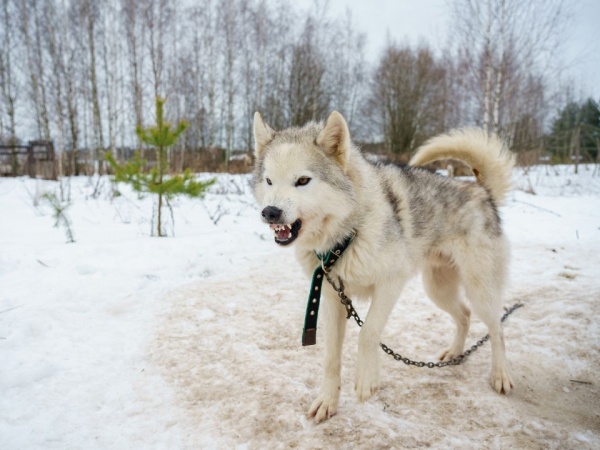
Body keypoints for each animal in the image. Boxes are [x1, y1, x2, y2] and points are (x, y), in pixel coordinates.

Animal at [252, 111, 516, 422]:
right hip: (438, 290)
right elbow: (331, 357)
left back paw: (500, 375)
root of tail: (482, 191)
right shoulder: (331, 296)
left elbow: (368, 333)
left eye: (303, 180)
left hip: (479, 291)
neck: (346, 236)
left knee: (497, 329)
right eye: (269, 181)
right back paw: (454, 353)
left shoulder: (390, 284)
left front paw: (367, 380)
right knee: (464, 315)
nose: (270, 212)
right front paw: (327, 401)